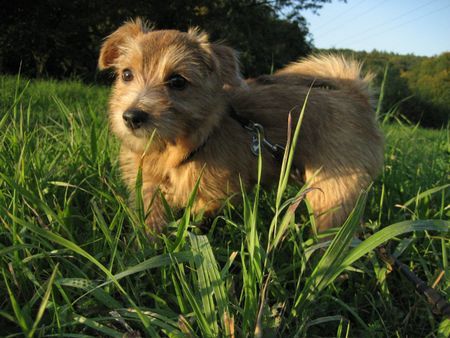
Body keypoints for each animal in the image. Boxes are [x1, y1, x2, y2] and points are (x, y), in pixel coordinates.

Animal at [97, 18, 384, 234]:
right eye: (126, 74)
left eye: (178, 81)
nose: (132, 116)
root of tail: (355, 95)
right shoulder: (148, 189)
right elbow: (152, 224)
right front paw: (148, 251)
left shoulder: (220, 193)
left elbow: (198, 216)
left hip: (333, 195)